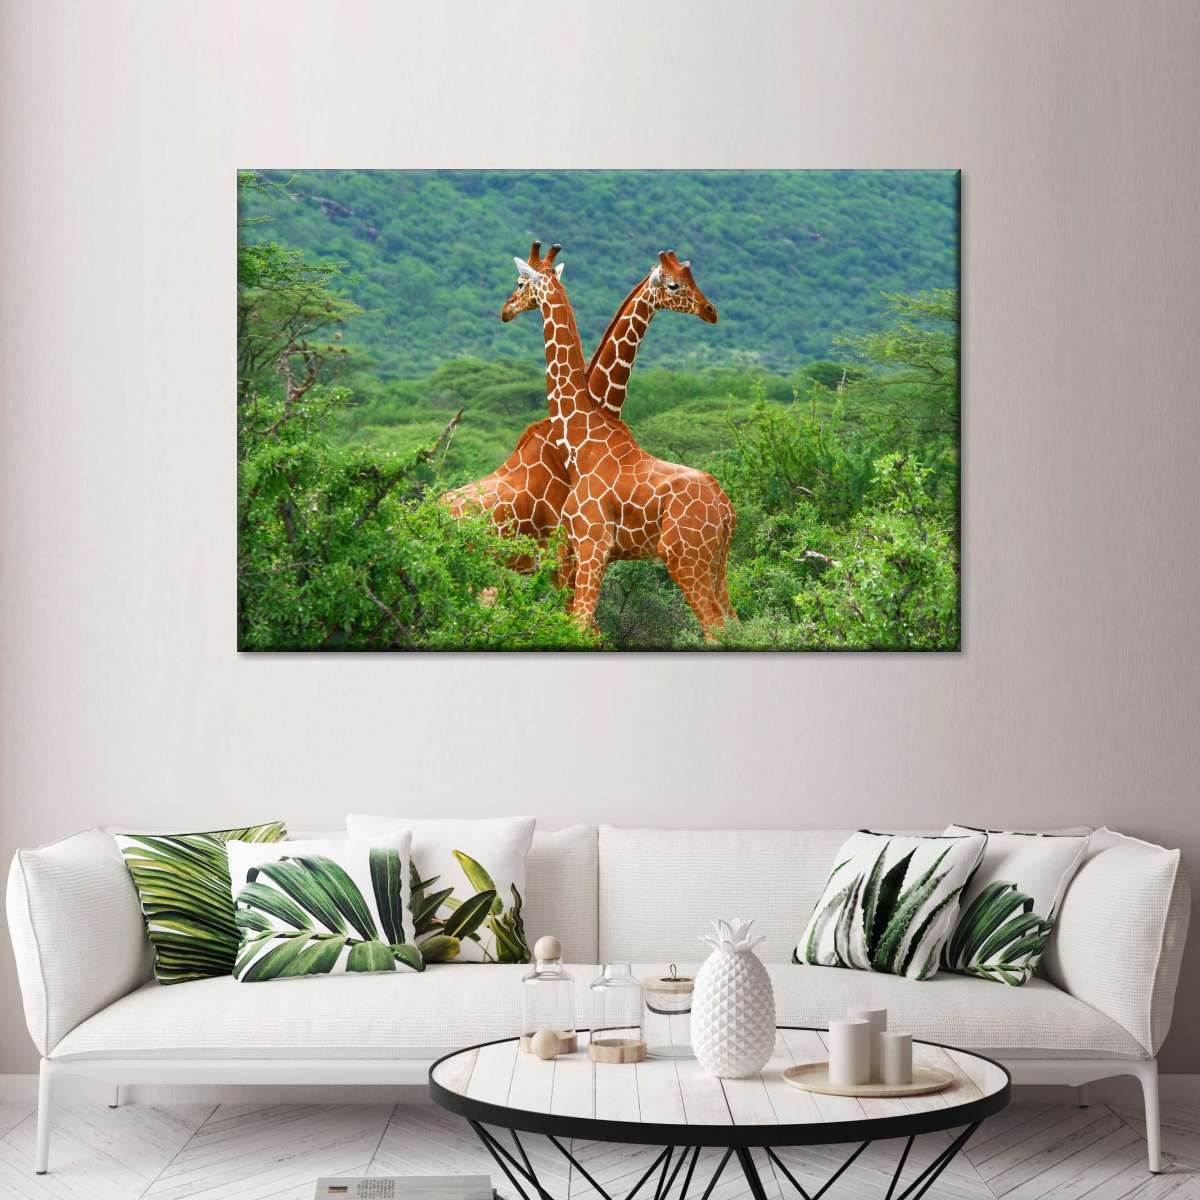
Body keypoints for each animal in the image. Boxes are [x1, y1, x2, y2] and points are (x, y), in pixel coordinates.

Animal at [500, 243, 736, 638]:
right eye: (675, 284)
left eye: (520, 282)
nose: (505, 310)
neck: (582, 438)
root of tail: (726, 509)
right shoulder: (582, 551)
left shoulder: (590, 544)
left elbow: (580, 627)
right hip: (717, 563)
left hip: (685, 558)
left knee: (716, 628)